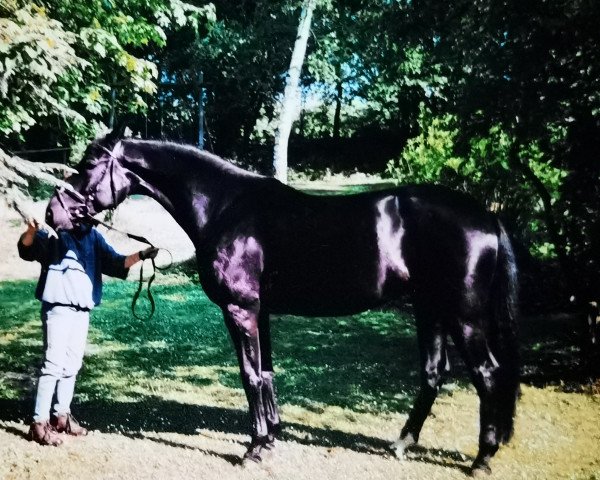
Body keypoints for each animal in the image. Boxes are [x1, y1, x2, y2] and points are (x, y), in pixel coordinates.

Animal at [45, 129, 520, 474]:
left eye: (88, 166)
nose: (54, 214)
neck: (226, 207)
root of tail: (487, 217)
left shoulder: (241, 310)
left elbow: (250, 376)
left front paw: (254, 448)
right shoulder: (262, 312)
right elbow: (267, 374)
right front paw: (271, 436)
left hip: (463, 316)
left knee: (488, 375)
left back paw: (481, 459)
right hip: (431, 310)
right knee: (434, 373)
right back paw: (402, 443)